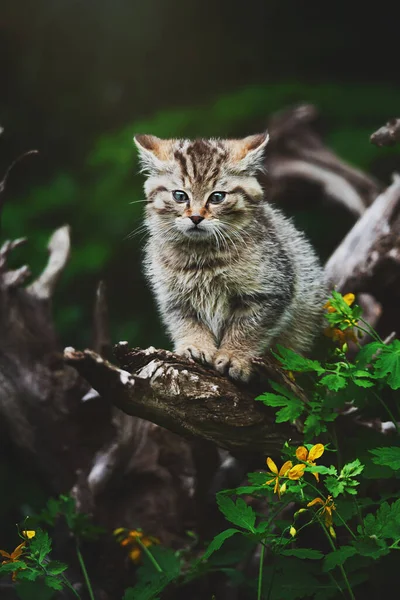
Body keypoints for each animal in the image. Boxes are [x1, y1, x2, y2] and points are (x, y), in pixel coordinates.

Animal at [134, 134, 328, 382]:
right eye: (180, 196)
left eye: (217, 197)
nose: (195, 217)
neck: (202, 257)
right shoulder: (175, 299)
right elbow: (187, 324)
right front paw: (195, 346)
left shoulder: (270, 290)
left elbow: (247, 329)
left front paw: (234, 356)